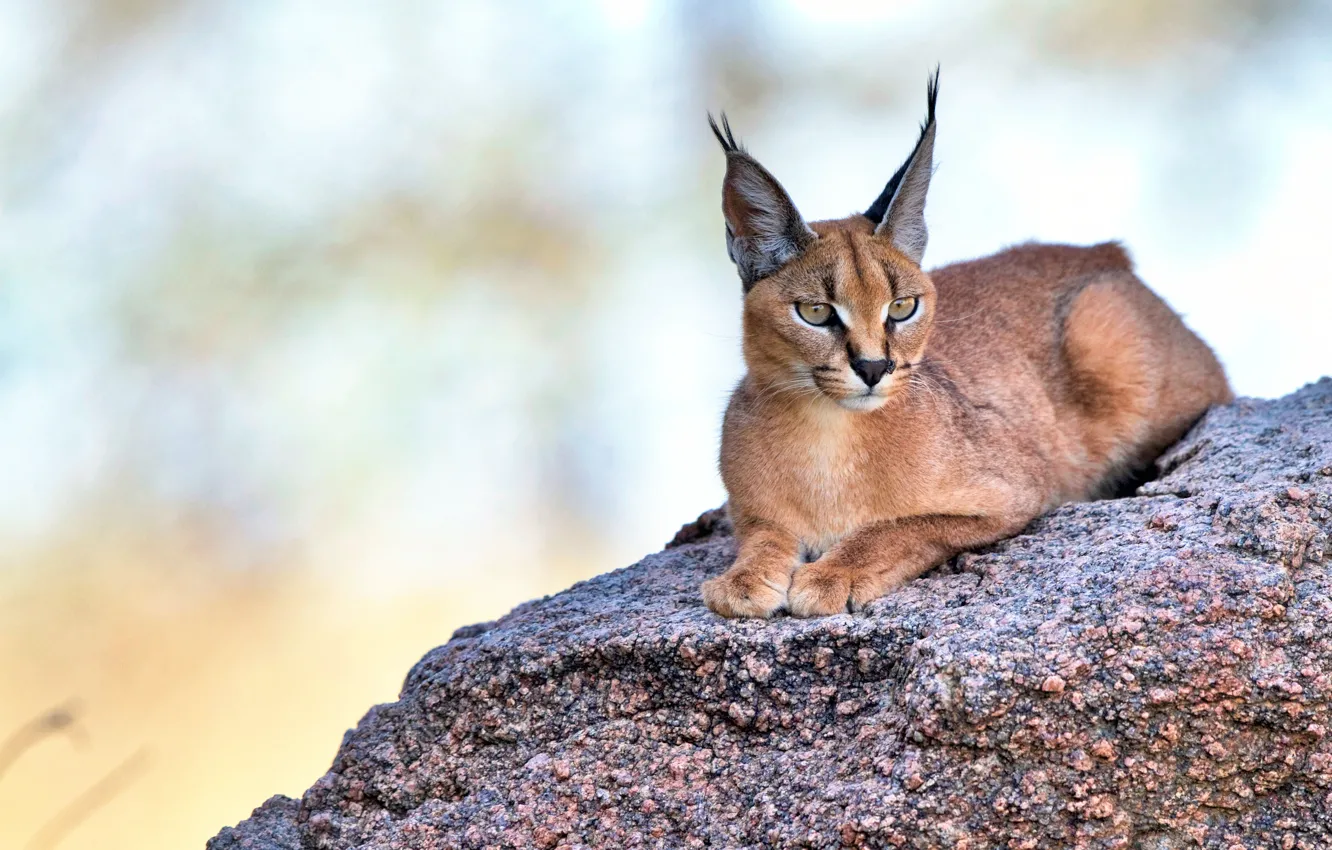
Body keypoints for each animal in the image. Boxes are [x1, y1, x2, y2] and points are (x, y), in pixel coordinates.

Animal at [703, 73, 1230, 618]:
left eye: (901, 307)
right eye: (814, 312)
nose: (873, 367)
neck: (828, 435)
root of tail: (1105, 251)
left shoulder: (1018, 491)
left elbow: (903, 527)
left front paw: (833, 573)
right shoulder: (749, 510)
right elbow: (764, 534)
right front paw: (744, 576)